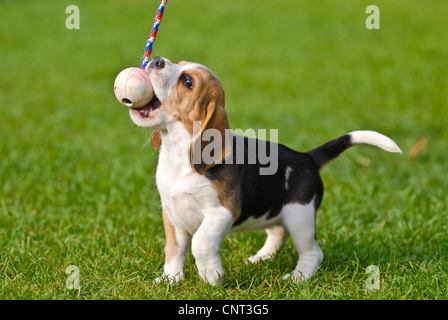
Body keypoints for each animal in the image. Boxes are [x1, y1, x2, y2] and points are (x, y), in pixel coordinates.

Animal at [127, 56, 402, 284]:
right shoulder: (172, 214)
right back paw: (260, 259)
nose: (156, 59)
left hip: (300, 216)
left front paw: (211, 275)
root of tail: (307, 157)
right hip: (278, 213)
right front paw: (170, 279)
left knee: (313, 251)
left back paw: (298, 277)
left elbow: (200, 242)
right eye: (179, 62)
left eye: (187, 81)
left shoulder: (222, 212)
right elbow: (174, 250)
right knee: (278, 234)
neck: (178, 153)